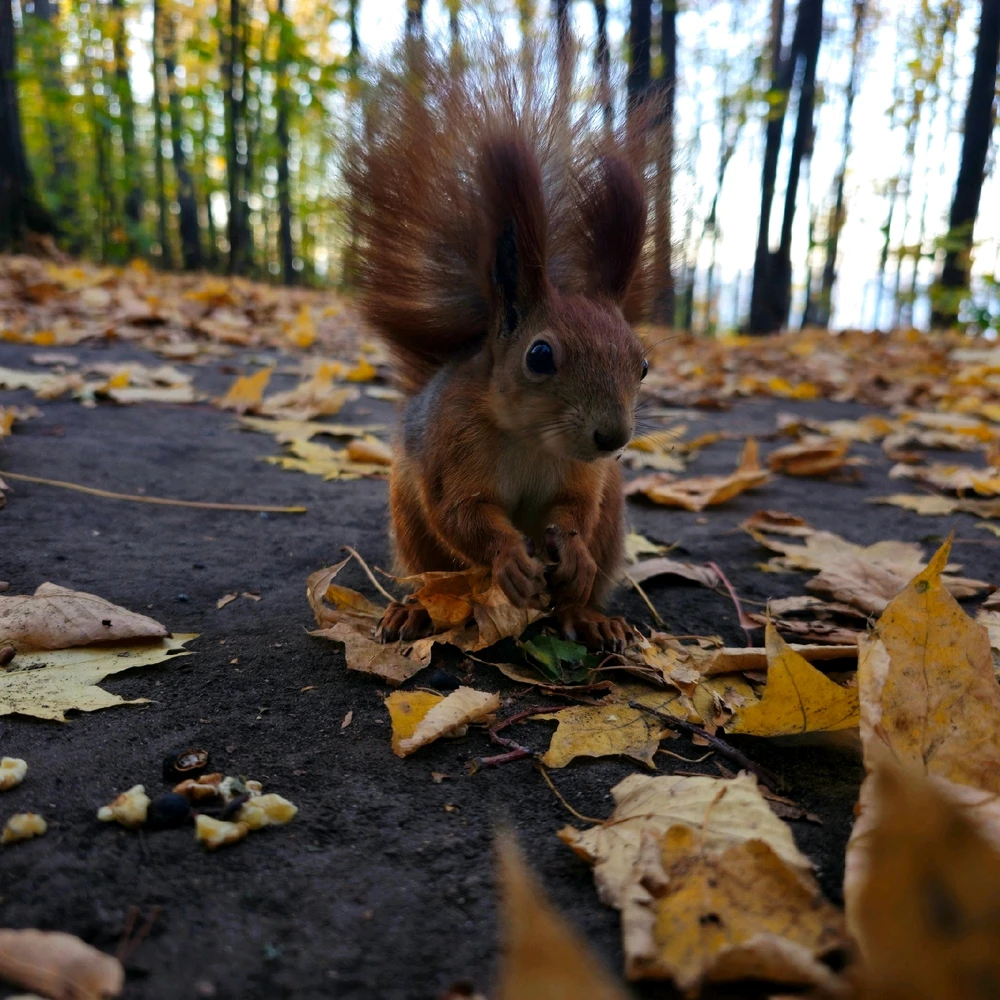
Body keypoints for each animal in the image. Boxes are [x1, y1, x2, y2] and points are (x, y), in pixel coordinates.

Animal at [346, 47, 650, 652]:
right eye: (539, 356)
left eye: (643, 364)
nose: (613, 438)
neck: (530, 438)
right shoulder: (451, 448)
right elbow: (464, 515)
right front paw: (510, 558)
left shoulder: (584, 477)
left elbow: (574, 510)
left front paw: (571, 551)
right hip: (410, 525)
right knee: (436, 577)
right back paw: (413, 612)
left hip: (614, 518)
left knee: (578, 592)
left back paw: (591, 617)